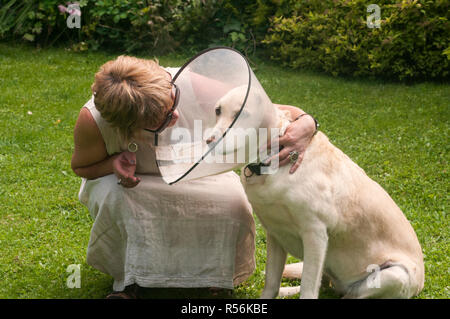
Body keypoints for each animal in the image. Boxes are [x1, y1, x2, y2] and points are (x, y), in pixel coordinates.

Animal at [207, 85, 426, 300]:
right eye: (217, 110)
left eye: (243, 114)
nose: (210, 140)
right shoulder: (275, 233)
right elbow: (271, 282)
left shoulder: (315, 234)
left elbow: (308, 289)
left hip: (395, 275)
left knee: (347, 294)